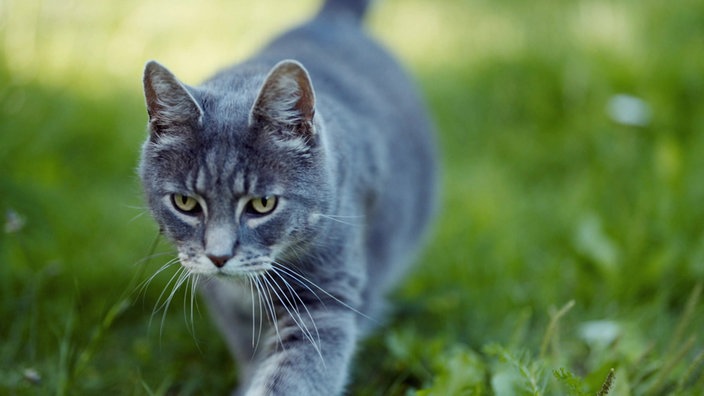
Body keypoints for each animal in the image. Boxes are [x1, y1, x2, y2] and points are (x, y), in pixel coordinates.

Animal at [138, 0, 434, 392]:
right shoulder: (220, 297)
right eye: (185, 203)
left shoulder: (325, 297)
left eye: (263, 204)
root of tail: (329, 20)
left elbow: (294, 375)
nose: (218, 256)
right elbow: (248, 352)